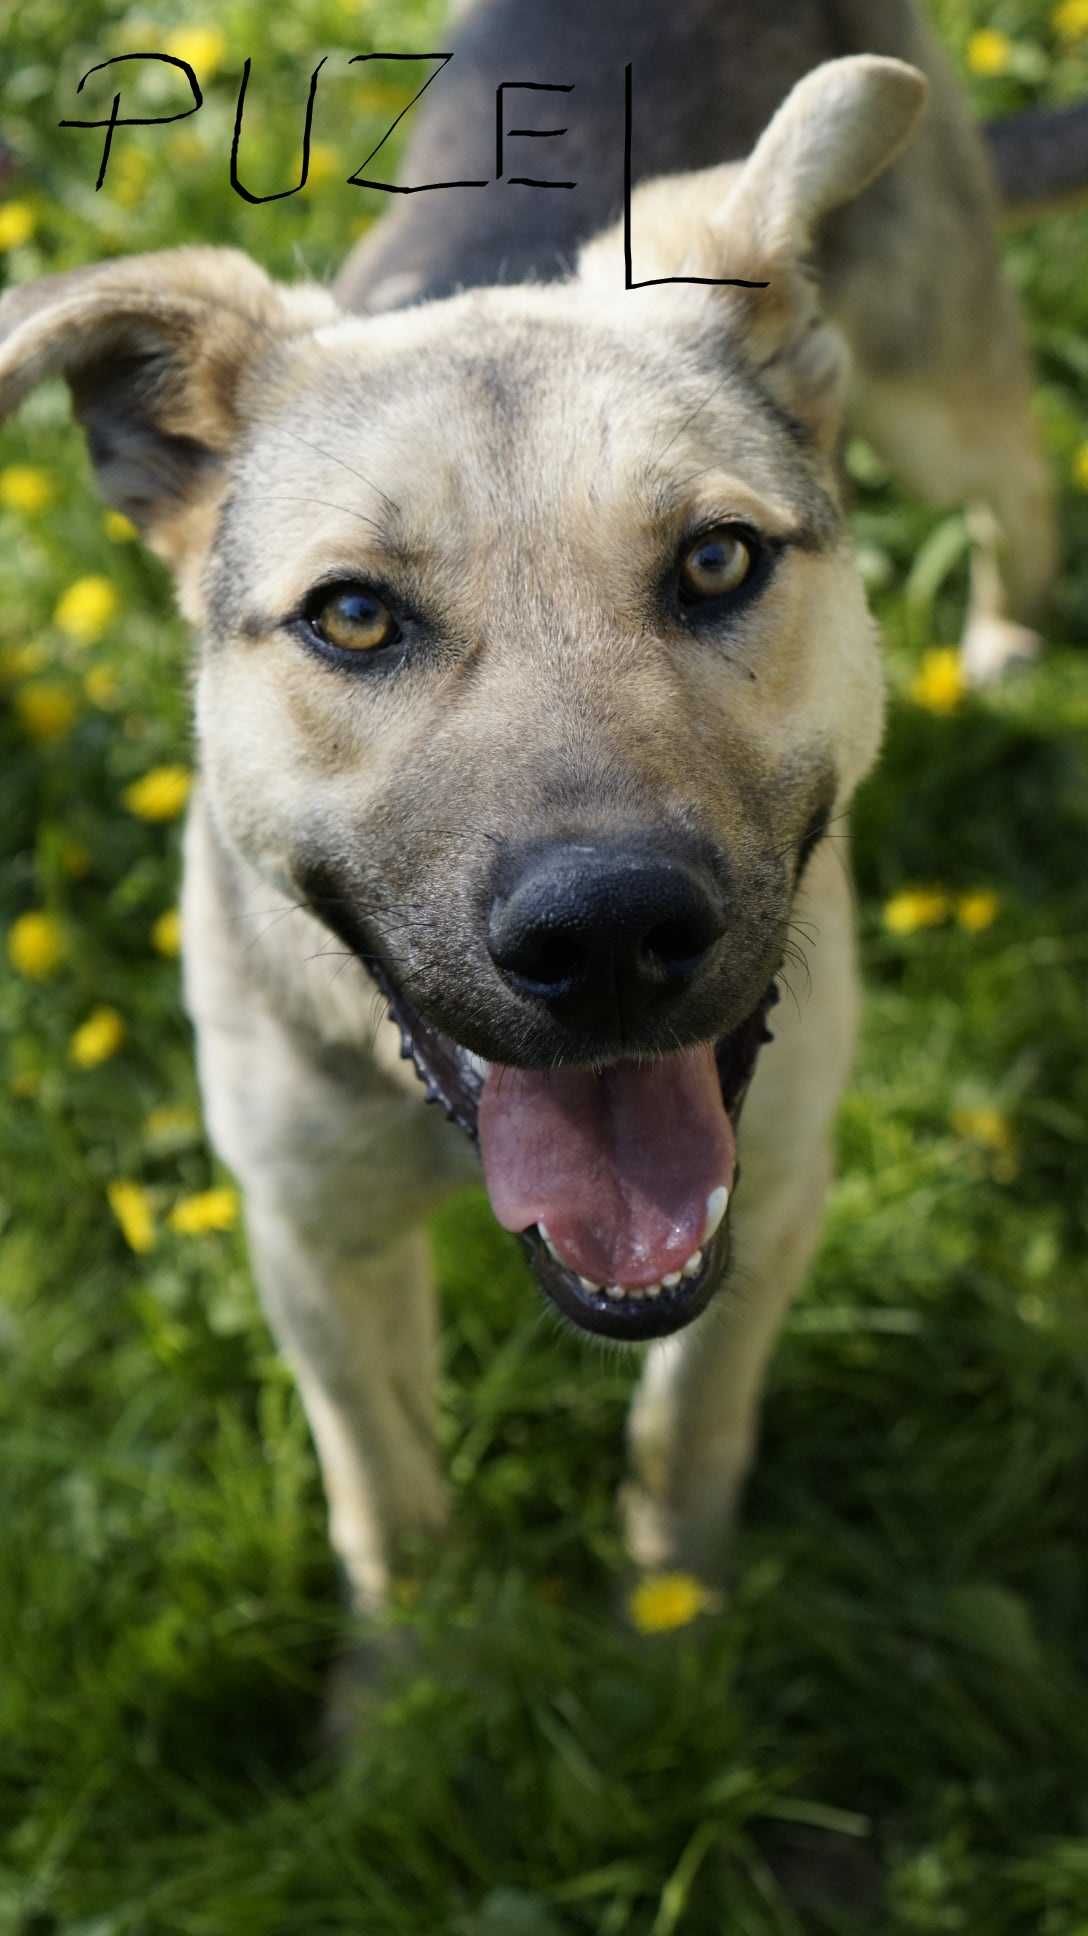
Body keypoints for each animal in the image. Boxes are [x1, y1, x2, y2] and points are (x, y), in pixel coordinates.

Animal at [0, 3, 1068, 1603]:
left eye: (715, 561)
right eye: (354, 616)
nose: (608, 934)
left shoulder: (782, 1177)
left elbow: (687, 1431)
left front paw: (674, 1612)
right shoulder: (313, 1244)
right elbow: (386, 1505)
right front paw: (415, 1664)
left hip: (937, 386)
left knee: (1023, 477)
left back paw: (1007, 634)